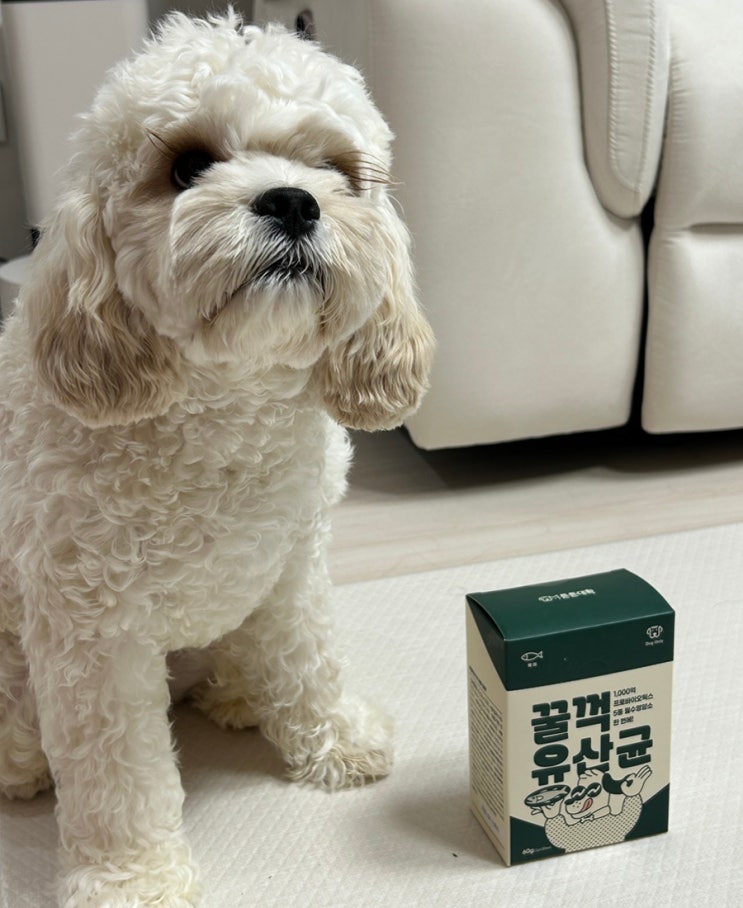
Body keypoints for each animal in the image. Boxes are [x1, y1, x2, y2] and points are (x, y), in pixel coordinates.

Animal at [0, 11, 433, 905]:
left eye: (334, 168)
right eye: (187, 165)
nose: (293, 201)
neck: (227, 406)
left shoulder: (293, 564)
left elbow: (309, 659)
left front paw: (331, 738)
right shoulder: (91, 633)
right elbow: (117, 777)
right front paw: (131, 878)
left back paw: (239, 691)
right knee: (28, 751)